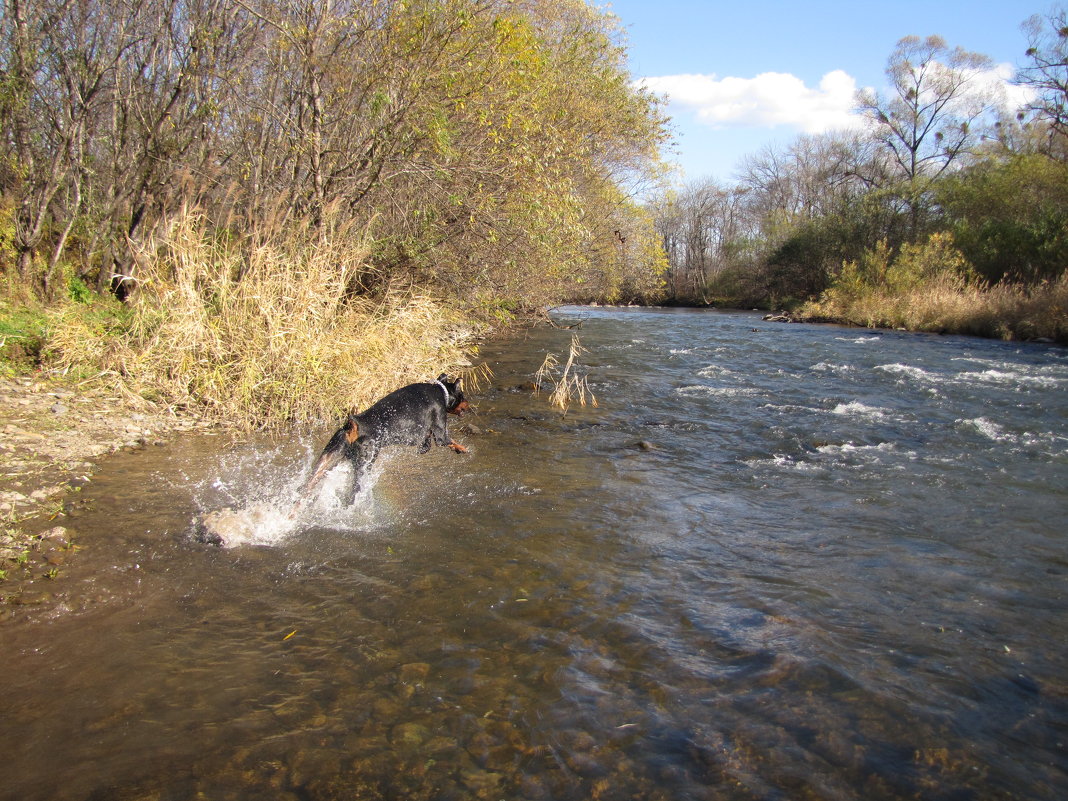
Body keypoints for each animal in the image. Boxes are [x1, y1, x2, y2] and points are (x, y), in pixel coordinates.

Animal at [296, 375, 472, 510]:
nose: (469, 406)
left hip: (328, 458)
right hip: (365, 463)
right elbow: (448, 440)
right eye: (463, 396)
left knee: (305, 488)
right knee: (353, 493)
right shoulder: (440, 430)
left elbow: (426, 443)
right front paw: (462, 449)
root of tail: (356, 425)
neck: (440, 391)